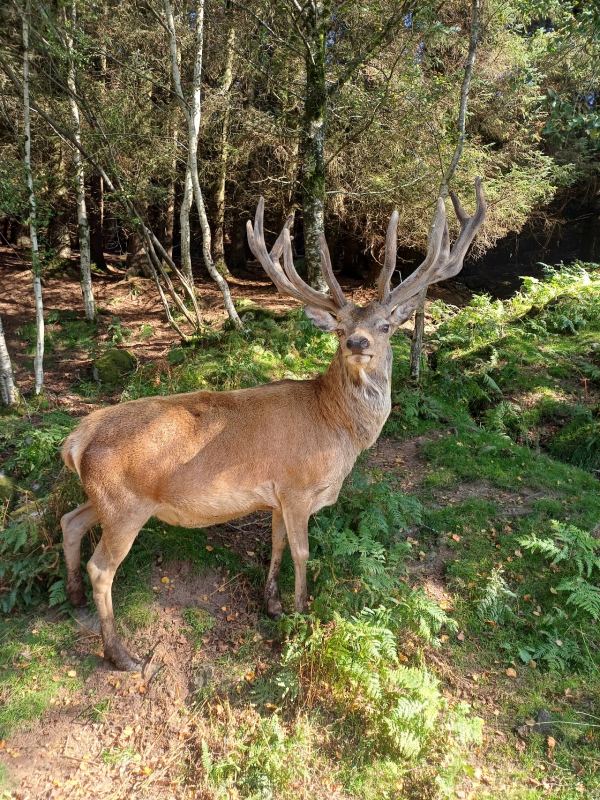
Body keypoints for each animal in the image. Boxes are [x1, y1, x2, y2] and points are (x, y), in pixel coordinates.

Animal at [60, 179, 486, 671]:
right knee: (101, 567)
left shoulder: (278, 495)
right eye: (340, 327)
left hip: (106, 499)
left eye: (385, 325)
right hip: (126, 503)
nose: (358, 342)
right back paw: (121, 654)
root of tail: (75, 440)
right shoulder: (298, 487)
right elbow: (302, 551)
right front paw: (302, 610)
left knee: (70, 520)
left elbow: (278, 545)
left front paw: (273, 603)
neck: (338, 431)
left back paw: (73, 598)